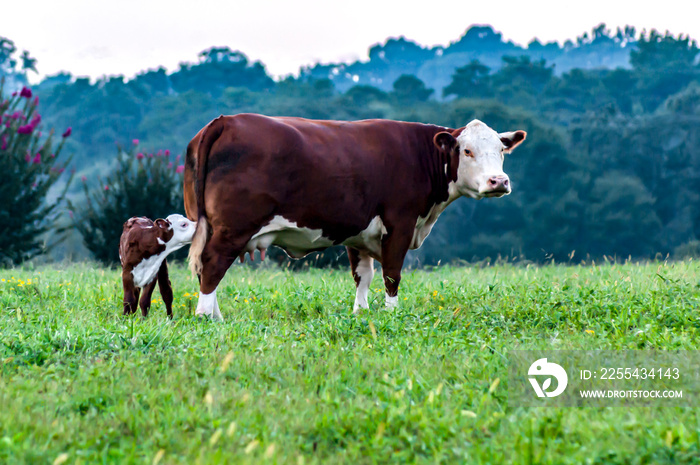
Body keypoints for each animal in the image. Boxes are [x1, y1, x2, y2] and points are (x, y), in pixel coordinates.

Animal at [186, 113, 524, 320]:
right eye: (466, 151)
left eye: (501, 150)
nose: (499, 181)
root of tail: (226, 121)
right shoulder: (399, 223)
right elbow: (391, 274)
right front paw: (392, 313)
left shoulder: (358, 233)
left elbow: (363, 275)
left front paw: (360, 313)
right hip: (234, 227)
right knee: (214, 263)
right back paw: (206, 317)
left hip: (207, 225)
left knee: (205, 266)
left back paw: (216, 315)